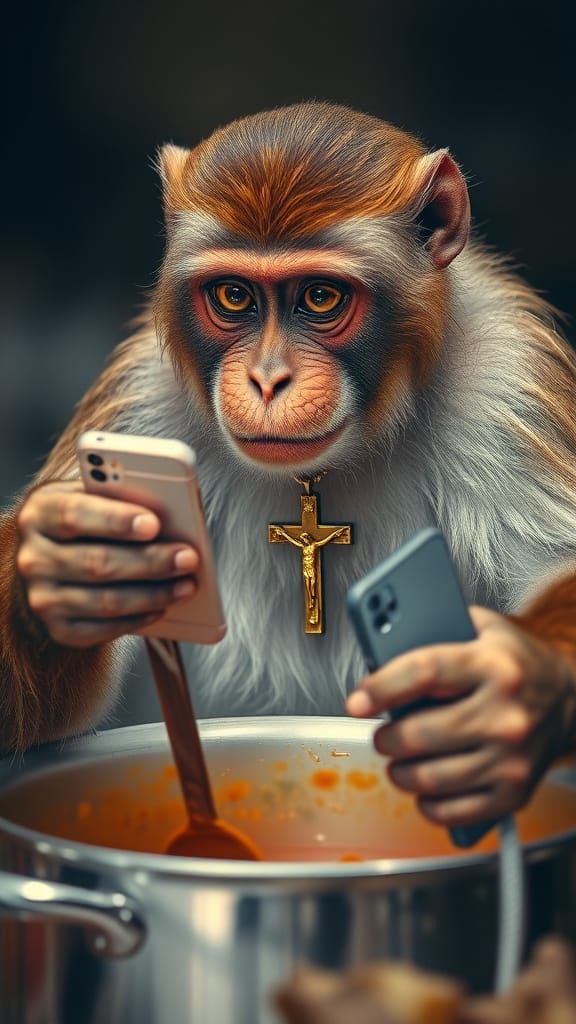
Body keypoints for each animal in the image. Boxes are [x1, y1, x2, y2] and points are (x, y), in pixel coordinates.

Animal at [1, 102, 575, 831]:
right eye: (234, 297)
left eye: (322, 298)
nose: (268, 379)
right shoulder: (141, 401)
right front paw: (61, 566)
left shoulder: (509, 380)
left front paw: (514, 685)